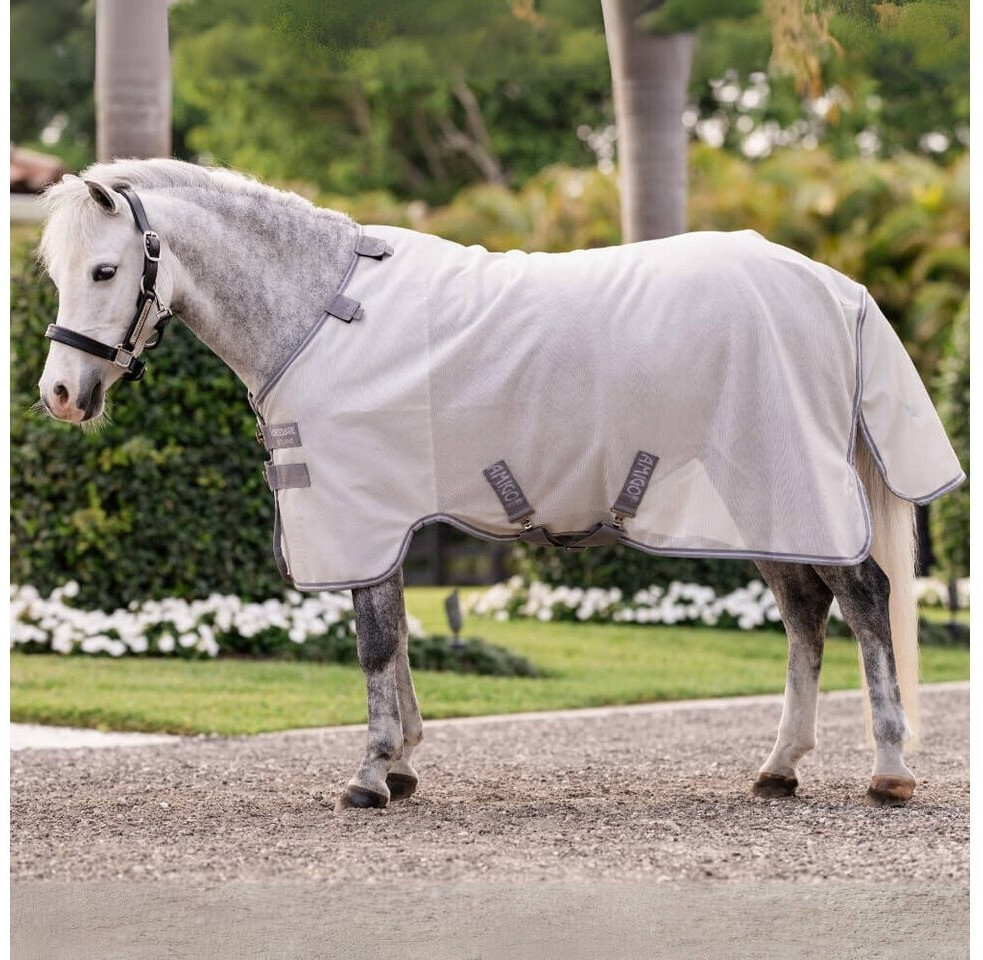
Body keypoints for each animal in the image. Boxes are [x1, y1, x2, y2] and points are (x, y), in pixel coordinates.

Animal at [36, 158, 962, 811]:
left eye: (106, 271)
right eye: (55, 272)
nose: (60, 394)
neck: (320, 312)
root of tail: (836, 288)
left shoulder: (362, 515)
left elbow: (374, 643)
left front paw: (371, 775)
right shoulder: (388, 521)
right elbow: (398, 640)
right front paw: (402, 764)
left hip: (791, 487)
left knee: (865, 601)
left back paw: (887, 768)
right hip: (766, 504)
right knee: (806, 615)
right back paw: (778, 768)